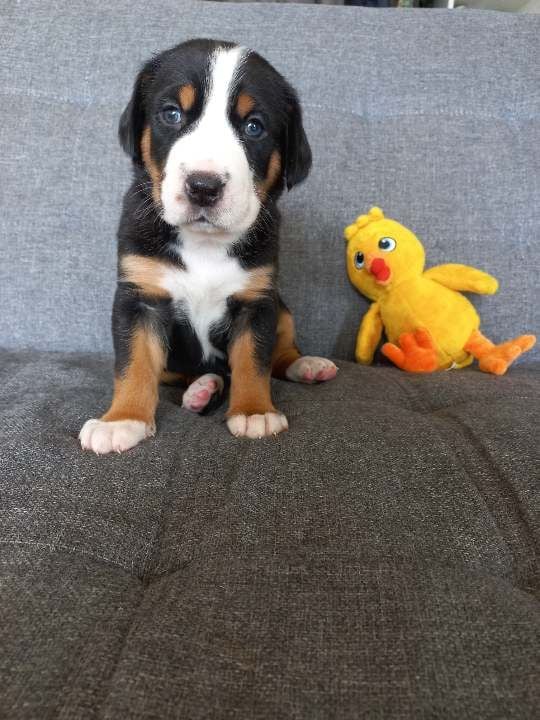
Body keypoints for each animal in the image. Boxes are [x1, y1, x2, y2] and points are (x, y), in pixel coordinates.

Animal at [80, 38, 337, 454]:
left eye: (254, 126)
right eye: (171, 114)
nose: (203, 186)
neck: (204, 243)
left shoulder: (257, 301)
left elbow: (254, 361)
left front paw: (254, 411)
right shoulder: (140, 298)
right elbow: (134, 364)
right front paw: (122, 420)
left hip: (282, 309)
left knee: (282, 353)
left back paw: (306, 365)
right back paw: (202, 389)